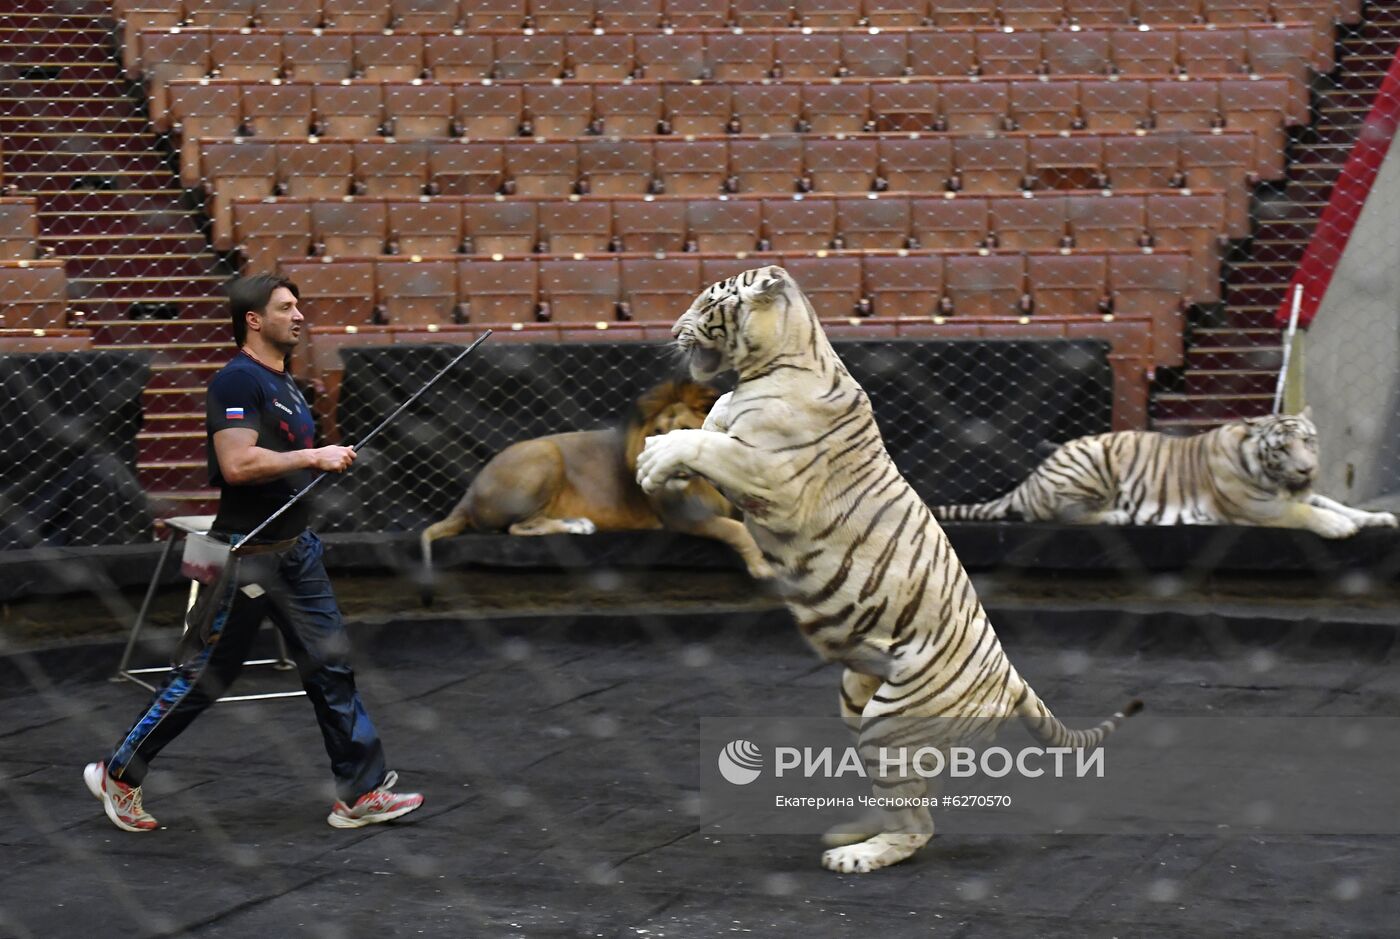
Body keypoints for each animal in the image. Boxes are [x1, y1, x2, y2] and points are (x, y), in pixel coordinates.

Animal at [420, 380, 778, 579]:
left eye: (684, 430)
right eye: (656, 432)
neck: (703, 475)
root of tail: (467, 496)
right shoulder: (683, 518)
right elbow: (736, 530)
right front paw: (761, 567)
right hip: (546, 454)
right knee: (515, 528)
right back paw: (578, 525)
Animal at [641, 265, 1142, 873]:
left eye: (707, 302)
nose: (672, 330)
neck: (774, 361)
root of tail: (1011, 678)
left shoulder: (770, 477)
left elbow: (702, 444)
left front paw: (657, 457)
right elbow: (699, 438)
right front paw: (654, 468)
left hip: (891, 724)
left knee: (915, 824)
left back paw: (859, 854)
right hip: (858, 697)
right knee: (910, 796)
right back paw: (853, 830)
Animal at [924, 408, 1394, 540]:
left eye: (1309, 442)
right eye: (1282, 448)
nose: (1306, 468)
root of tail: (1027, 483)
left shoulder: (1299, 492)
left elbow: (1332, 502)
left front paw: (1378, 518)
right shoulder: (1261, 508)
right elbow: (1308, 513)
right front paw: (1339, 527)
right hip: (1093, 458)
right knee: (1059, 515)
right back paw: (1115, 515)